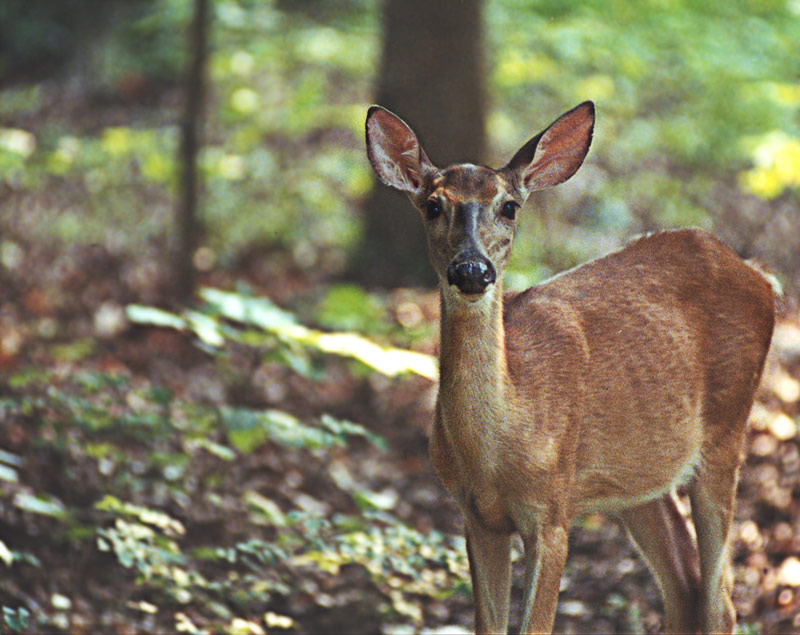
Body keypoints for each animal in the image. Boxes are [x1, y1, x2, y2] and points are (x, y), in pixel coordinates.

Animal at [366, 100, 780, 635]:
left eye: (510, 206)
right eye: (433, 205)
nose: (472, 270)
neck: (497, 447)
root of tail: (763, 278)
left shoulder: (552, 513)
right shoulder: (476, 516)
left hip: (727, 430)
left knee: (719, 599)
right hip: (639, 477)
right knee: (684, 585)